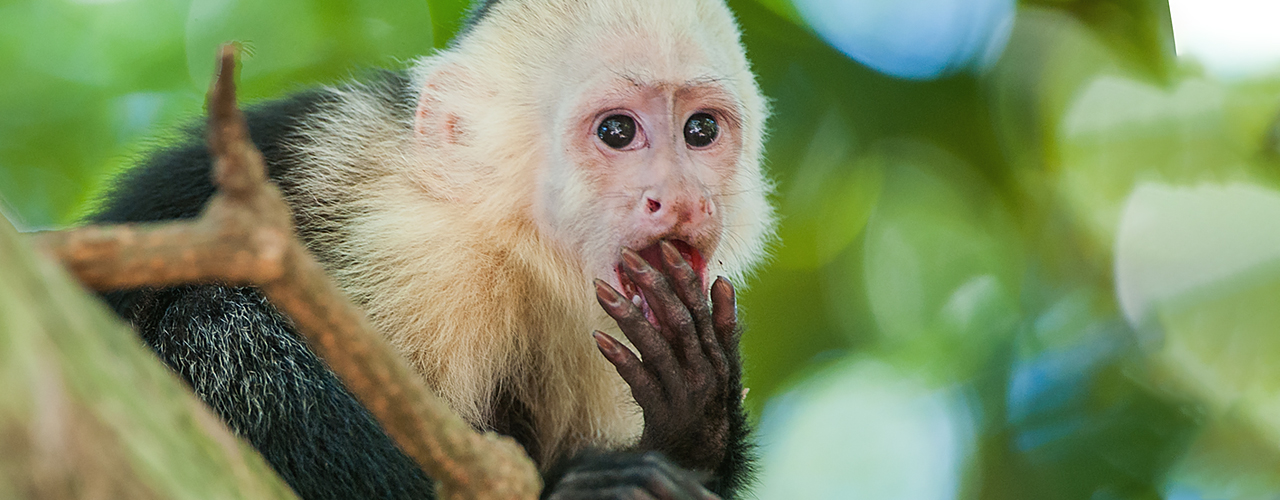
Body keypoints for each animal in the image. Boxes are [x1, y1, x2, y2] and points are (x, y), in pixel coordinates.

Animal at [92, 0, 768, 500]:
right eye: (618, 131)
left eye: (701, 130)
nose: (682, 200)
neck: (509, 246)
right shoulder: (412, 255)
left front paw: (692, 421)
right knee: (214, 324)